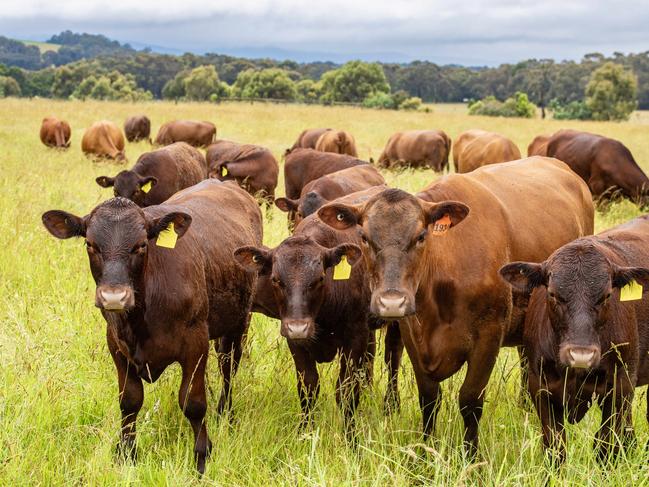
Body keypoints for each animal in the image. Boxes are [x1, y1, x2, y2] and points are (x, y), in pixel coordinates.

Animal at [42, 179, 264, 472]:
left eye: (140, 246)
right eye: (90, 245)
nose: (114, 297)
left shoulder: (196, 343)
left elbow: (193, 402)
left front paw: (202, 456)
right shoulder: (116, 345)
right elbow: (129, 401)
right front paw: (127, 453)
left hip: (238, 326)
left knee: (228, 368)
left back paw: (225, 412)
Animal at [316, 158, 596, 460]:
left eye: (421, 236)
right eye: (365, 237)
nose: (392, 301)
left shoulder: (488, 337)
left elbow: (470, 400)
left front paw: (470, 456)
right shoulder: (412, 335)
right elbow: (428, 398)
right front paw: (424, 454)